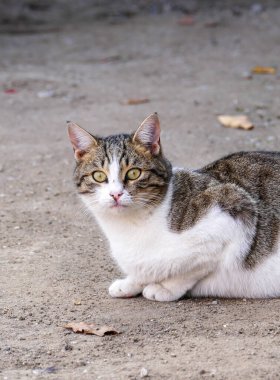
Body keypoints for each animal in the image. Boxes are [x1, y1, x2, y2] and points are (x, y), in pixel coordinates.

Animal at [68, 113, 280, 302]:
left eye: (134, 173)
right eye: (99, 176)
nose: (115, 194)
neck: (128, 227)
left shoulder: (235, 209)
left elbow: (191, 269)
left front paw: (164, 287)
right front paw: (131, 282)